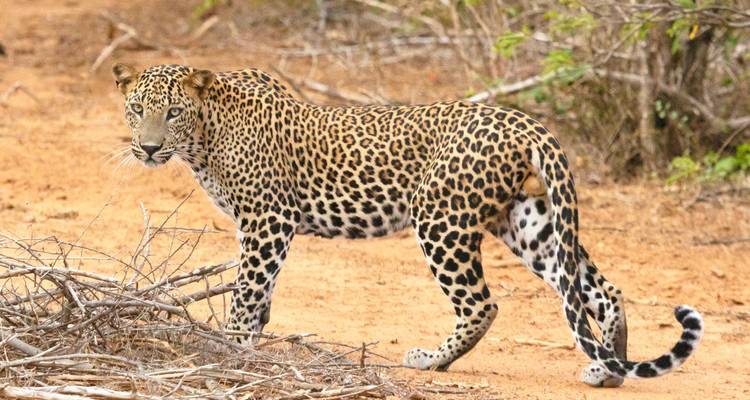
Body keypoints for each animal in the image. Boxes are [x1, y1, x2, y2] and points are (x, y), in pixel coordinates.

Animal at [112, 63, 704, 387]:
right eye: (136, 109)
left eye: (172, 113)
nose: (148, 148)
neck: (205, 136)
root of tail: (525, 121)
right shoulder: (263, 226)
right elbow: (260, 294)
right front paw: (249, 344)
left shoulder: (268, 219)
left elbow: (247, 290)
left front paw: (230, 349)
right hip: (528, 222)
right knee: (597, 291)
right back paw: (609, 368)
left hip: (440, 218)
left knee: (483, 304)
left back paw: (430, 361)